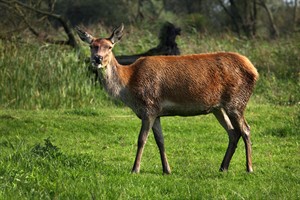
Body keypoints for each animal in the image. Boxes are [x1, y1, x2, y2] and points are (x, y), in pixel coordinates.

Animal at [76, 23, 258, 175]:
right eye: (92, 46)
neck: (128, 86)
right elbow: (160, 141)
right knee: (233, 132)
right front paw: (167, 170)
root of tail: (254, 70)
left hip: (236, 102)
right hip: (218, 108)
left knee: (246, 129)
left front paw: (135, 169)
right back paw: (223, 167)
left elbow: (142, 139)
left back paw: (249, 168)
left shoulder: (148, 107)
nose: (97, 59)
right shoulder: (156, 112)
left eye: (109, 46)